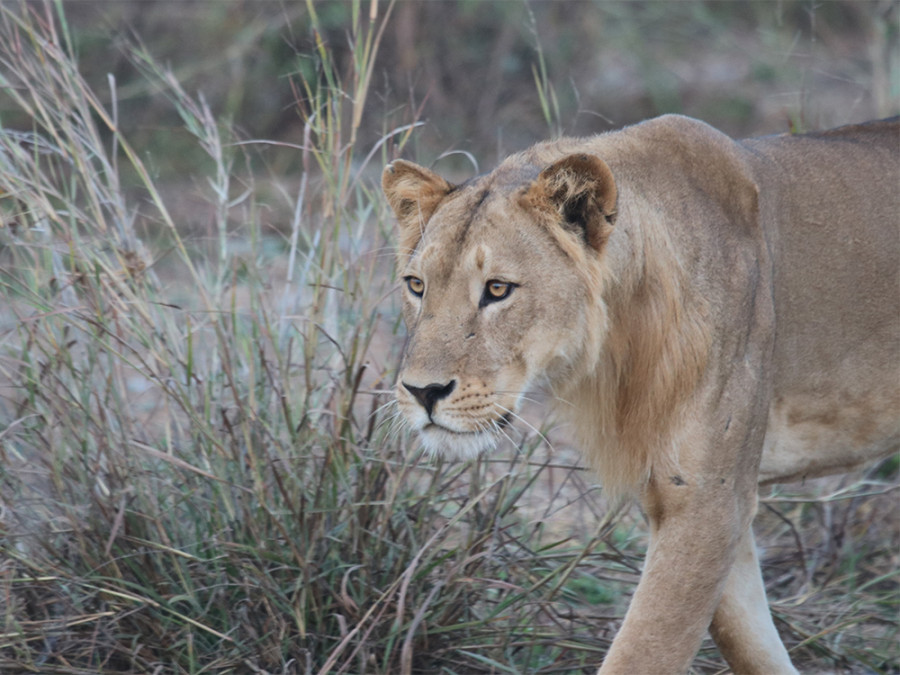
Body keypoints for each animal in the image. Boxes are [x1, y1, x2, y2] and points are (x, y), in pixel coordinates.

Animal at [382, 116, 900, 675]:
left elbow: (644, 650)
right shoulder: (695, 501)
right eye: (416, 285)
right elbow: (752, 644)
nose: (423, 391)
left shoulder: (710, 501)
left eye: (498, 289)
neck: (619, 346)